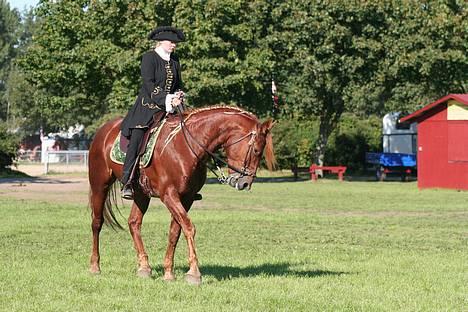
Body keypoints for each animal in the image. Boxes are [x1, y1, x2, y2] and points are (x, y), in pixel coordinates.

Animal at [88, 106, 274, 284]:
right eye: (256, 150)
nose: (245, 183)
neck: (187, 146)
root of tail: (103, 130)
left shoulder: (187, 197)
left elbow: (175, 232)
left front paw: (169, 272)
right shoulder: (169, 195)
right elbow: (189, 227)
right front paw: (194, 273)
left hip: (141, 193)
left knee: (134, 222)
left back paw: (144, 267)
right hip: (99, 186)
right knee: (97, 223)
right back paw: (95, 266)